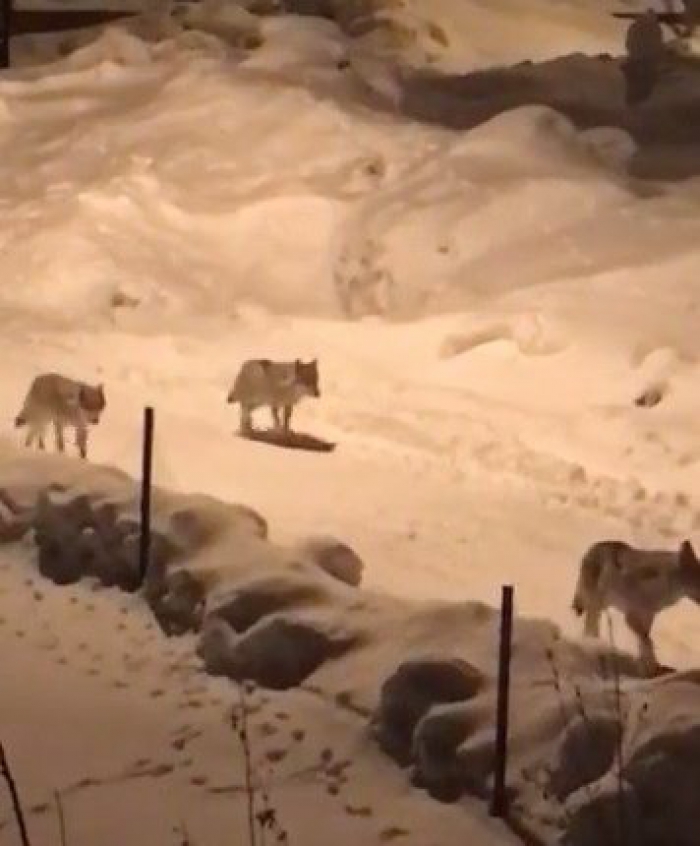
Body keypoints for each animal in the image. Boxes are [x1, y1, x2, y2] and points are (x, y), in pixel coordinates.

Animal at [572, 544, 700, 676]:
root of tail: (593, 547)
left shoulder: (648, 617)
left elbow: (644, 643)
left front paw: (650, 668)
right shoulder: (631, 617)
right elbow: (647, 642)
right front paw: (649, 669)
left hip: (603, 605)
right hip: (596, 604)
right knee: (590, 627)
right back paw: (593, 646)